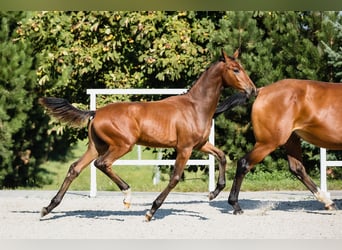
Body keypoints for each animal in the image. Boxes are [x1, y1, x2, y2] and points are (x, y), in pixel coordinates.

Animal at [38, 49, 255, 221]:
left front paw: (214, 193)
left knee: (75, 168)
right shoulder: (184, 148)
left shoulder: (200, 145)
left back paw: (48, 208)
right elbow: (175, 178)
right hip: (123, 145)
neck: (195, 107)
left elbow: (222, 156)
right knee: (102, 164)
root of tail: (95, 112)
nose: (251, 90)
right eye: (235, 69)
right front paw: (151, 211)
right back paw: (127, 196)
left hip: (96, 146)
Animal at [216, 78, 340, 215]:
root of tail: (262, 90)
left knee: (297, 168)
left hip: (290, 140)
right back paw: (236, 205)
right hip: (269, 143)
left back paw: (329, 203)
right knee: (244, 163)